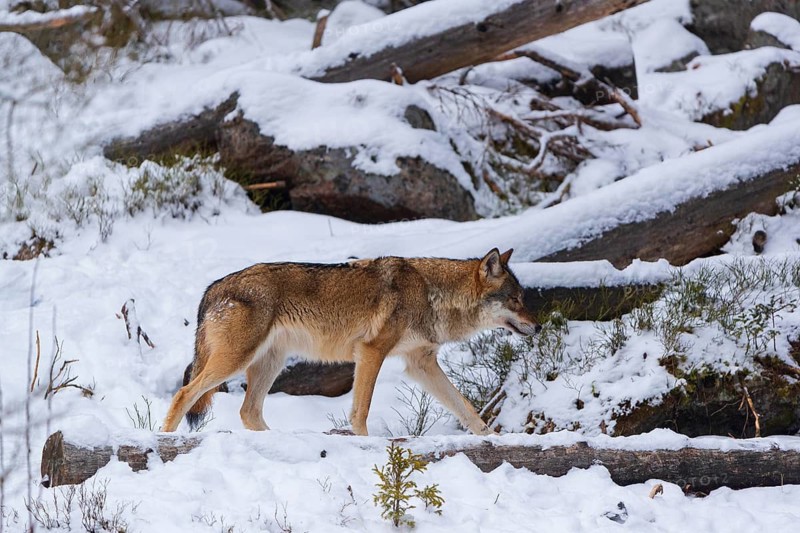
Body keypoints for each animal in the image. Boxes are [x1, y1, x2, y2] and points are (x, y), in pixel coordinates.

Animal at [162, 248, 539, 436]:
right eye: (516, 300)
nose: (537, 327)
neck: (433, 295)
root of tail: (213, 288)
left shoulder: (421, 365)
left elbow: (467, 409)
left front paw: (493, 440)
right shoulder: (372, 352)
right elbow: (361, 411)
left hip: (269, 363)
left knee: (248, 411)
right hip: (236, 361)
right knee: (184, 393)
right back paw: (164, 438)